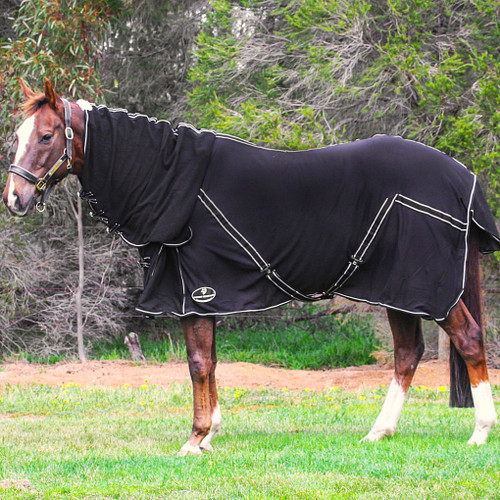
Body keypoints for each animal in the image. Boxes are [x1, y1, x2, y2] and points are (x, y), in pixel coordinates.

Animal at [2, 79, 496, 458]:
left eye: (46, 137)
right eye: (18, 136)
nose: (14, 199)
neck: (170, 180)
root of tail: (462, 178)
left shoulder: (194, 291)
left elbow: (198, 362)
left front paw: (196, 438)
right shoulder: (205, 295)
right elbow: (212, 360)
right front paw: (211, 433)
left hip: (429, 289)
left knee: (469, 340)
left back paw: (480, 432)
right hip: (396, 289)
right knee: (407, 353)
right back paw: (379, 431)